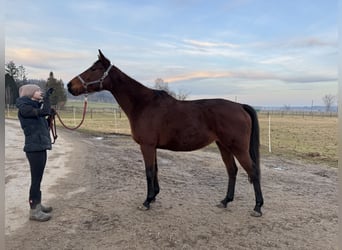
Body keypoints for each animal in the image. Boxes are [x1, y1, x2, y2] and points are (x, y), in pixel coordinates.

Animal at [67, 49, 264, 217]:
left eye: (94, 69)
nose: (69, 86)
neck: (143, 104)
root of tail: (240, 106)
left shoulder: (147, 146)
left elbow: (148, 171)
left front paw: (146, 201)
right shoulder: (152, 146)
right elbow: (155, 170)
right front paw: (154, 196)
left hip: (238, 148)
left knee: (253, 171)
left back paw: (257, 207)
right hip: (223, 146)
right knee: (232, 171)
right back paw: (225, 201)